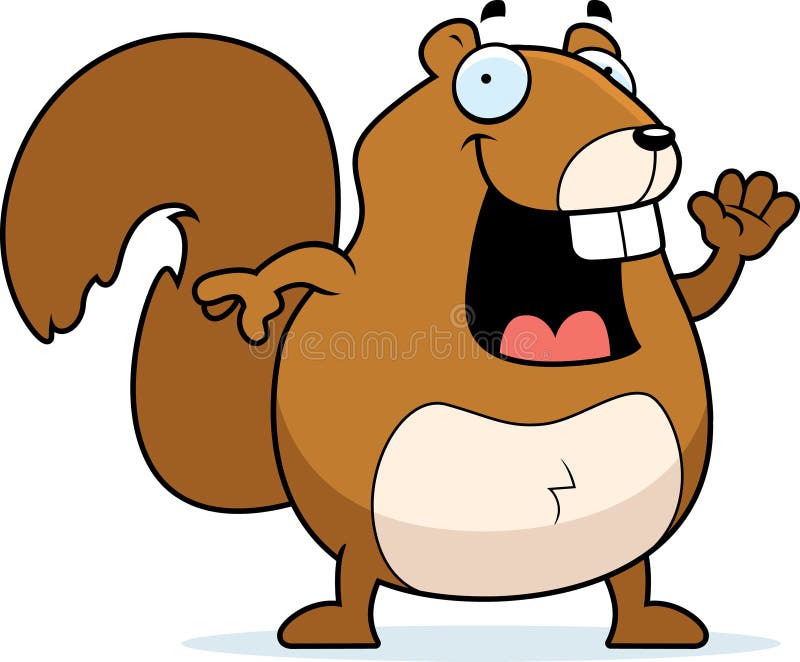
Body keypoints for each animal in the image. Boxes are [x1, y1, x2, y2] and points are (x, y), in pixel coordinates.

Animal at [2, 1, 797, 652]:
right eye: (489, 83)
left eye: (614, 72)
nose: (653, 135)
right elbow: (305, 272)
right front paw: (255, 295)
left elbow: (698, 292)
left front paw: (741, 221)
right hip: (361, 544)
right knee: (356, 576)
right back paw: (337, 632)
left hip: (626, 550)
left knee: (630, 575)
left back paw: (646, 627)